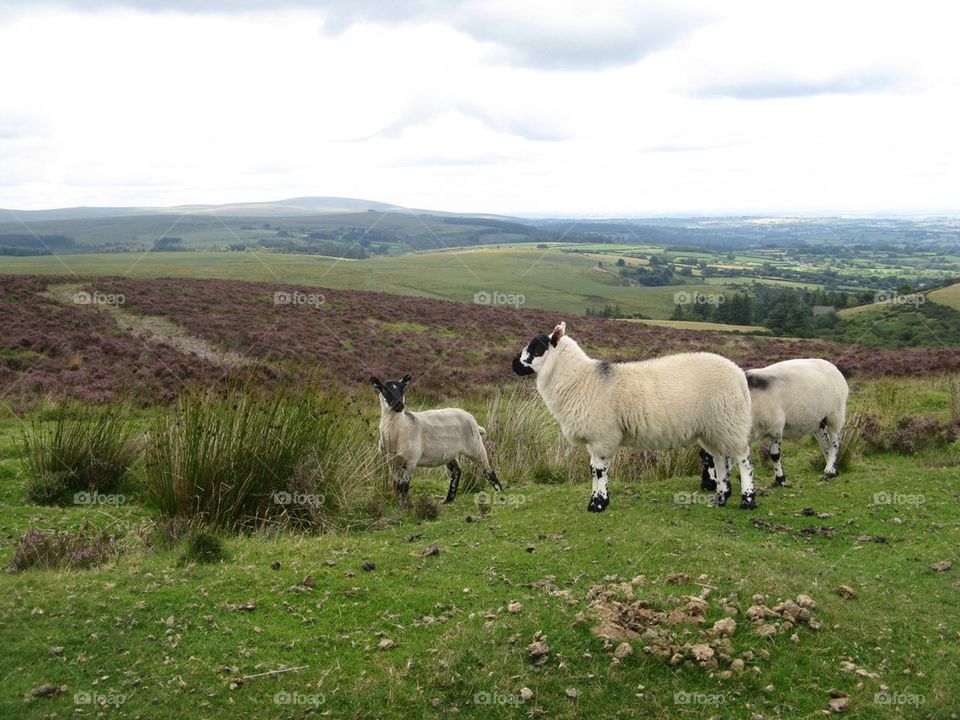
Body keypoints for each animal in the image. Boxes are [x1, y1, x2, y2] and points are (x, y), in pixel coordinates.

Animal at [370, 374, 502, 504]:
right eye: (384, 390)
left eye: (403, 389)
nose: (399, 405)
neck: (401, 429)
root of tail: (471, 418)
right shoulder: (391, 463)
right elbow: (397, 485)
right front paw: (397, 503)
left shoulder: (411, 461)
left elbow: (405, 487)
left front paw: (403, 505)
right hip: (450, 452)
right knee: (457, 471)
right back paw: (448, 499)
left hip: (475, 446)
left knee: (489, 471)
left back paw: (500, 493)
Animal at [510, 320, 756, 512]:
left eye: (536, 348)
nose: (513, 364)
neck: (581, 379)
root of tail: (739, 374)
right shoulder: (593, 439)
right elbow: (592, 470)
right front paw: (596, 501)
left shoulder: (602, 436)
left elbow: (599, 470)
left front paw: (598, 504)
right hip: (712, 429)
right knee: (720, 459)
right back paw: (721, 498)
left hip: (729, 422)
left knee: (743, 458)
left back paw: (747, 500)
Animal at [696, 356, 848, 490]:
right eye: (702, 456)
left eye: (713, 459)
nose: (706, 485)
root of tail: (834, 367)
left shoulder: (776, 429)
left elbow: (775, 456)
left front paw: (780, 480)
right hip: (818, 422)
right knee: (825, 445)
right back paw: (833, 471)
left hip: (835, 415)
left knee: (835, 443)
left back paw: (827, 472)